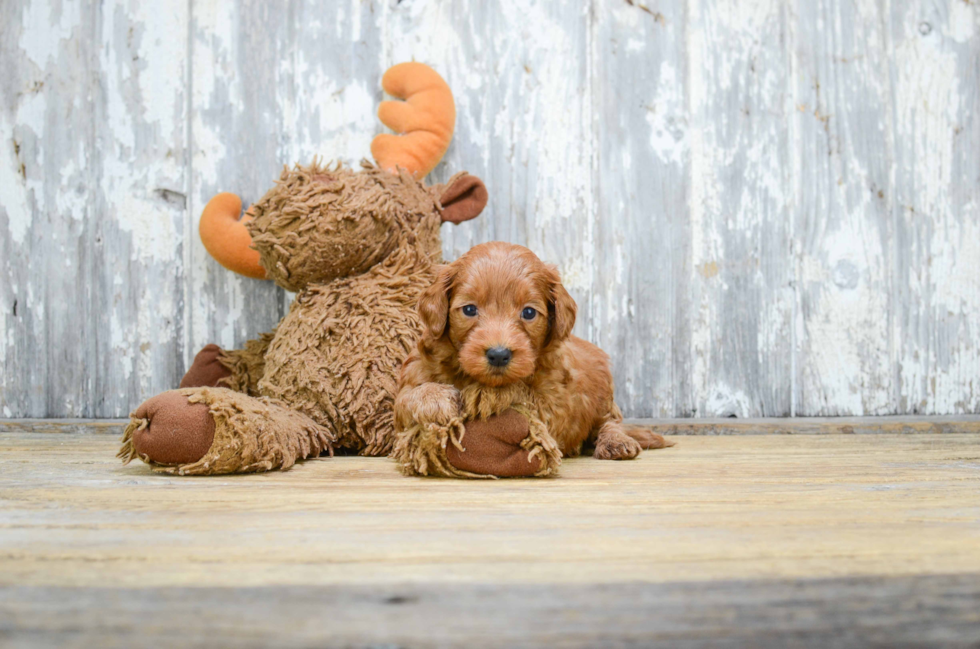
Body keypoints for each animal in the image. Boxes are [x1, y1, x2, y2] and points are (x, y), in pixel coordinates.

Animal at [390, 242, 672, 476]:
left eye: (528, 312)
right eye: (469, 309)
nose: (499, 354)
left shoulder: (554, 402)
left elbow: (524, 394)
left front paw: (486, 394)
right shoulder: (411, 382)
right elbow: (407, 399)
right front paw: (436, 398)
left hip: (605, 397)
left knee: (610, 424)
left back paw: (617, 442)